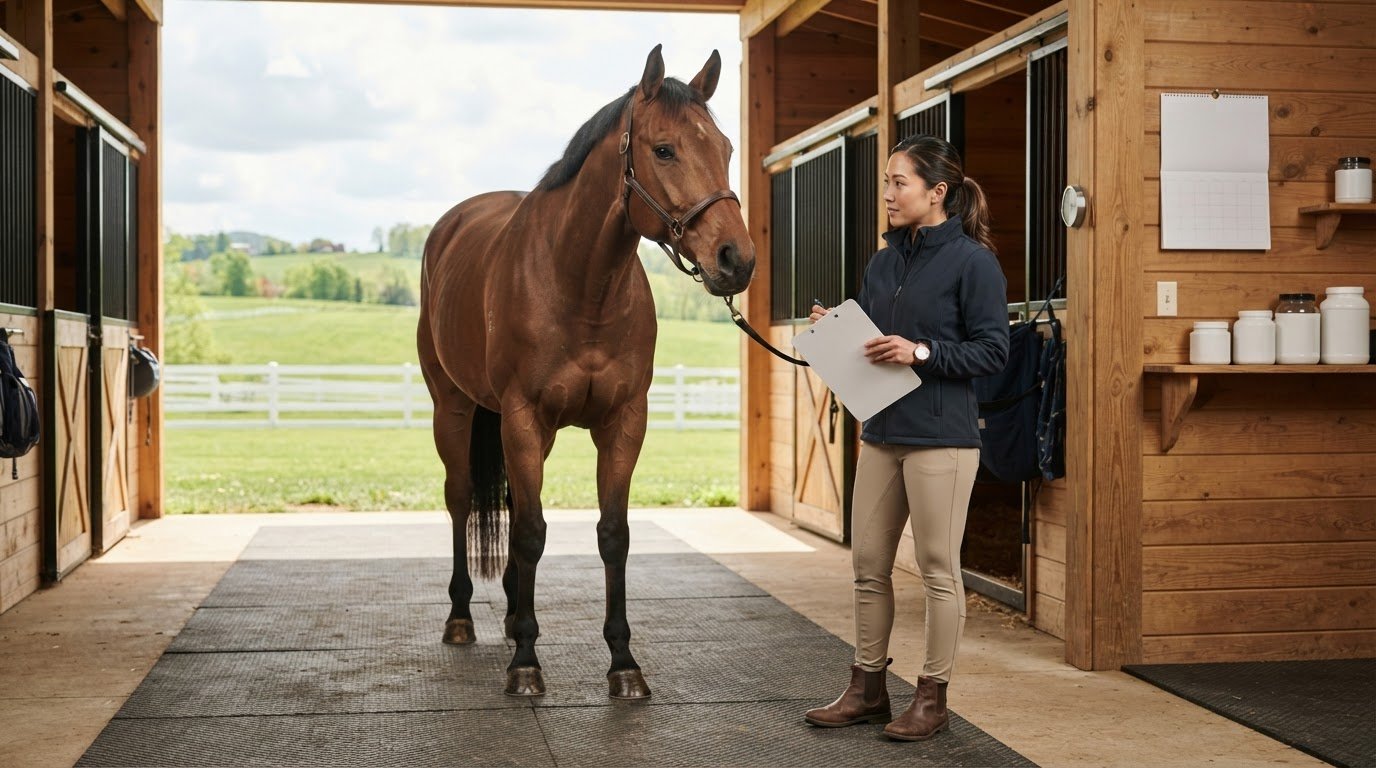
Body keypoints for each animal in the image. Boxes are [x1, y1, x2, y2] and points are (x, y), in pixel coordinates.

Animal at [417, 45, 754, 700]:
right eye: (664, 149)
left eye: (727, 148)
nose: (737, 259)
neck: (580, 285)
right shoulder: (523, 419)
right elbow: (530, 532)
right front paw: (526, 664)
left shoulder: (623, 422)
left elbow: (612, 534)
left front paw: (623, 663)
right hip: (456, 409)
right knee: (461, 498)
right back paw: (462, 618)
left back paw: (512, 614)